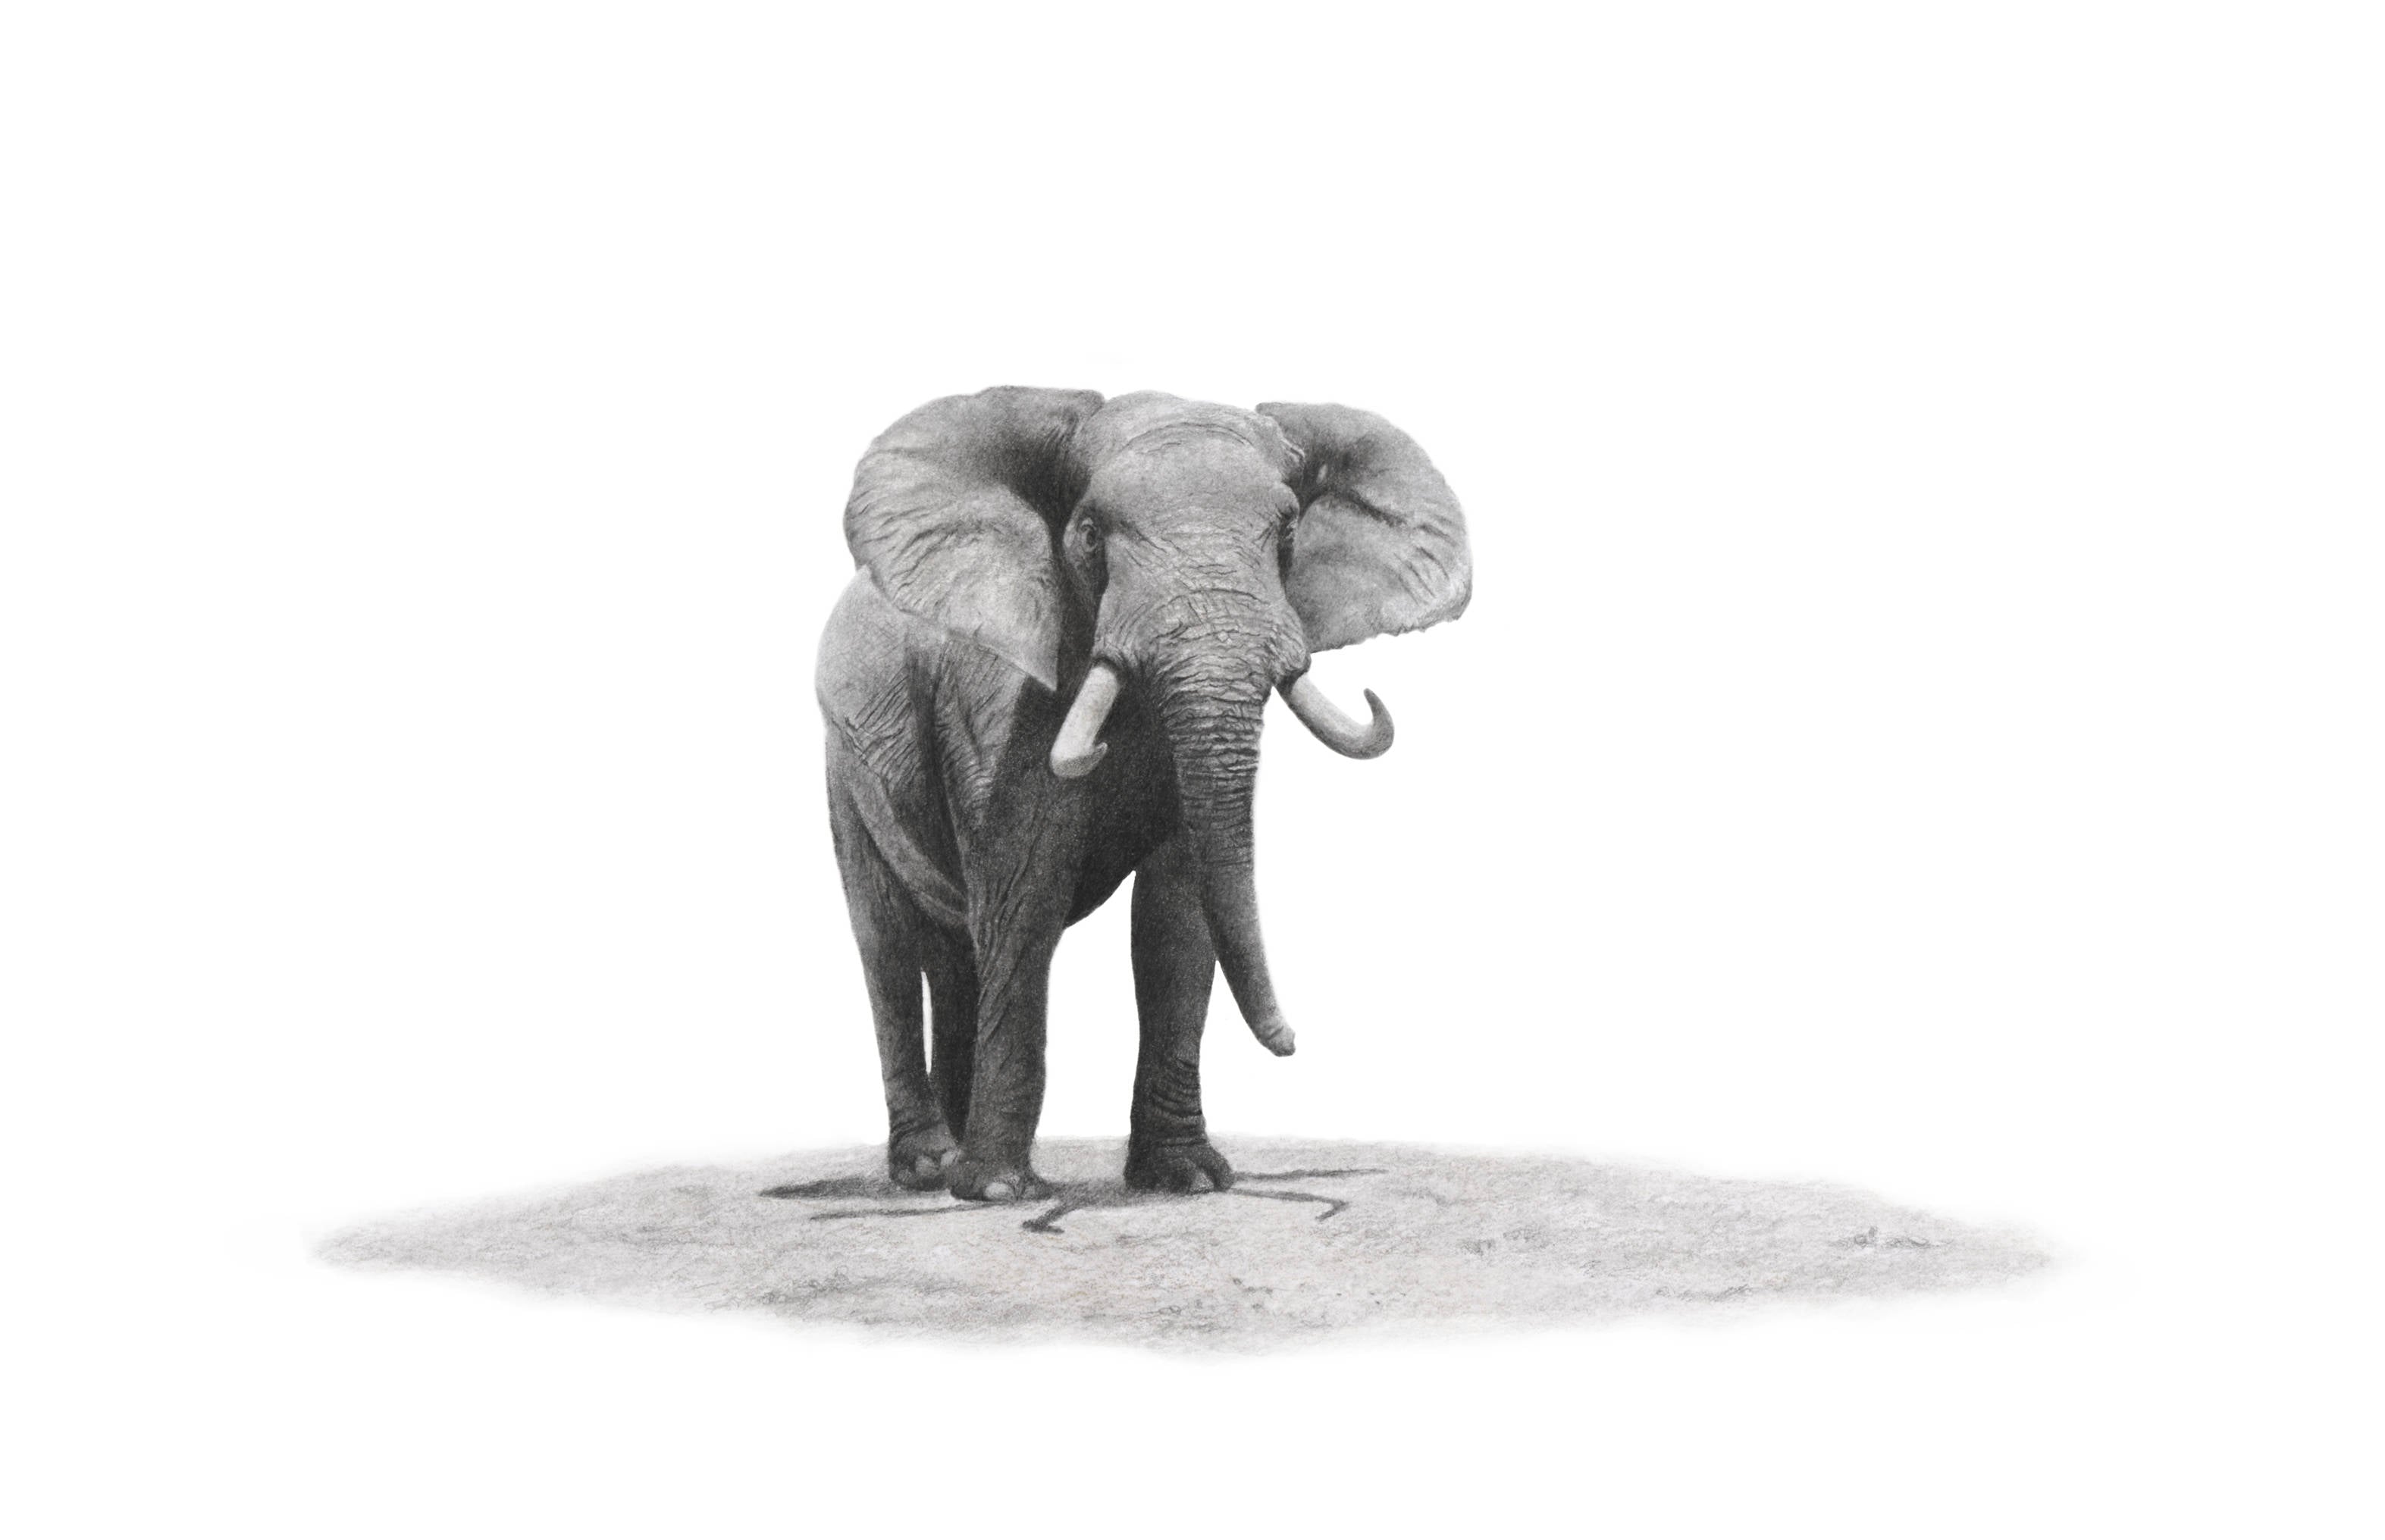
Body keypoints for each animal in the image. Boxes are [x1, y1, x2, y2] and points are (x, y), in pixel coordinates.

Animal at [815, 388, 1470, 1201]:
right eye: (1092, 533)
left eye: (1287, 530)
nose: (1293, 1041)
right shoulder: (995, 703)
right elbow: (1025, 894)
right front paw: (997, 1191)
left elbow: (1177, 915)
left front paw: (1186, 1178)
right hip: (845, 757)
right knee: (890, 942)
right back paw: (932, 1168)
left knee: (954, 949)